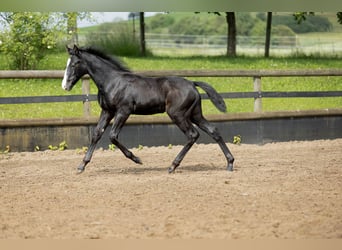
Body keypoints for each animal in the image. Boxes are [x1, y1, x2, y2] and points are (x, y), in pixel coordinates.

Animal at [61, 45, 234, 173]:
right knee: (213, 130)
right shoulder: (107, 111)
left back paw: (172, 166)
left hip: (178, 114)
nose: (65, 86)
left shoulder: (123, 111)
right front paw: (82, 165)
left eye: (75, 63)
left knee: (193, 134)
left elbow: (113, 136)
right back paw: (230, 163)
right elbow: (96, 134)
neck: (112, 81)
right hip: (194, 114)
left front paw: (137, 159)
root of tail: (192, 83)